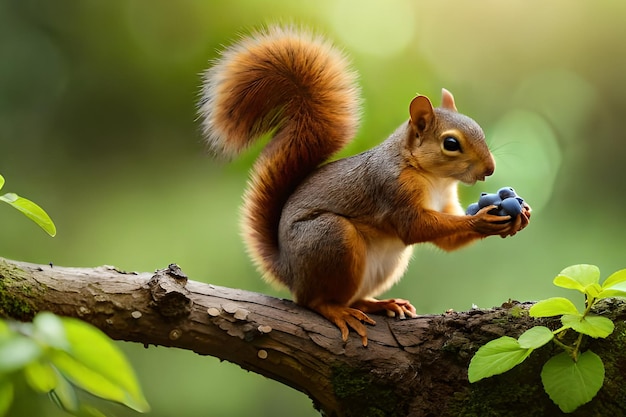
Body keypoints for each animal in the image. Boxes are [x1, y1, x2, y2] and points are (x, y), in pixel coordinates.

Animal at [199, 25, 528, 344]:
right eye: (451, 144)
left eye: (478, 128)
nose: (490, 168)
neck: (434, 178)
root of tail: (289, 271)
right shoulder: (391, 189)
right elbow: (414, 227)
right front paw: (482, 220)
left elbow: (447, 241)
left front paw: (518, 216)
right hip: (331, 238)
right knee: (315, 301)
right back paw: (337, 310)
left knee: (353, 298)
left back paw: (381, 304)